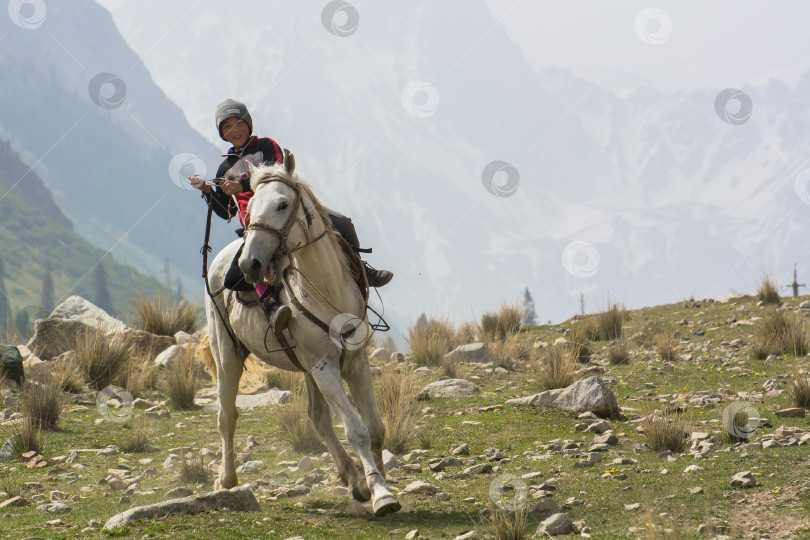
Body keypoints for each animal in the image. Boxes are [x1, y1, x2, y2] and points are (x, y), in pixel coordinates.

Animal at [205, 150, 400, 516]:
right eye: (250, 207)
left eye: (282, 204)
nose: (251, 265)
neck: (327, 288)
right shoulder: (325, 367)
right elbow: (357, 431)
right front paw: (381, 494)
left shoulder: (354, 363)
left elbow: (376, 428)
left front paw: (377, 484)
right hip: (228, 356)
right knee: (226, 415)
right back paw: (227, 479)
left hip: (306, 367)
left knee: (318, 418)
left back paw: (353, 478)